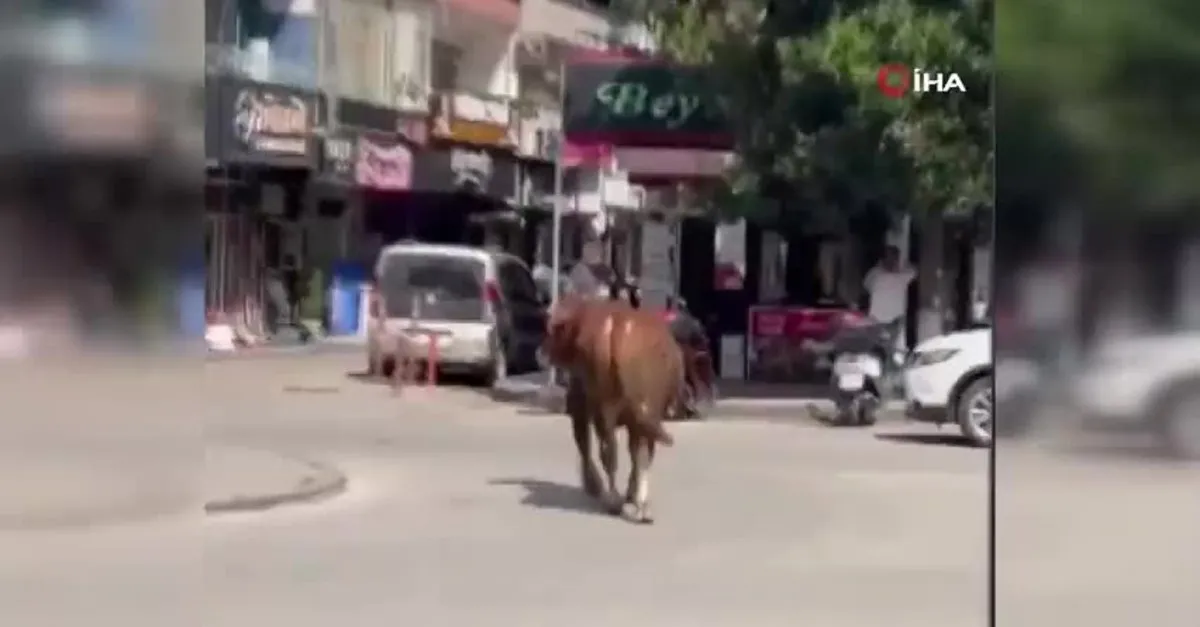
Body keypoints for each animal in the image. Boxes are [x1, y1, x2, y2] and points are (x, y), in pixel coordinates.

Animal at [537, 295, 681, 518]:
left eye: (553, 330)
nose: (539, 353)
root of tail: (620, 329)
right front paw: (630, 495)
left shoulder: (579, 403)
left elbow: (584, 443)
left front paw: (596, 487)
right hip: (639, 410)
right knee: (634, 451)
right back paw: (636, 504)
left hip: (609, 410)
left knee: (610, 451)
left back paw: (615, 500)